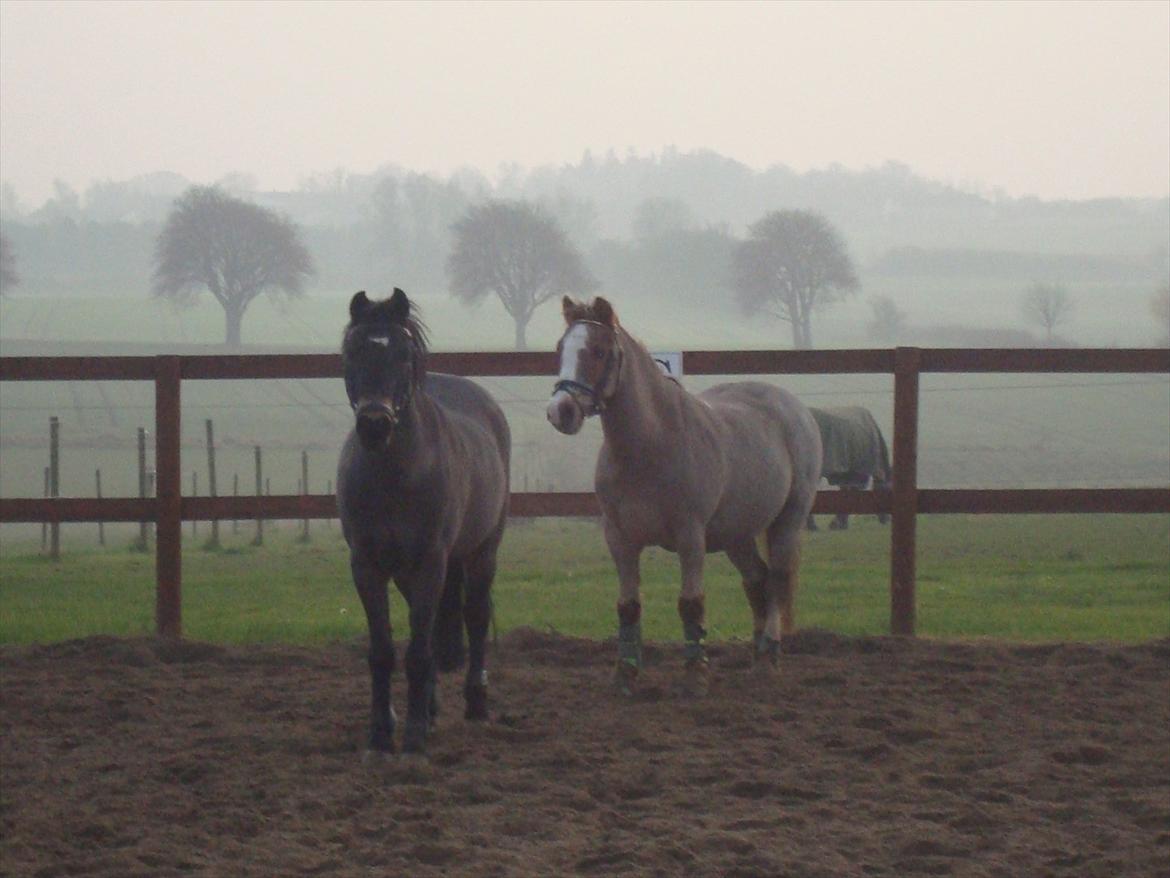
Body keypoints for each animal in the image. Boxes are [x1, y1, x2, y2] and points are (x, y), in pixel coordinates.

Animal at [334, 290, 507, 758]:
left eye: (404, 355)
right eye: (352, 351)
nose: (375, 424)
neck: (396, 474)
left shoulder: (432, 563)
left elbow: (418, 651)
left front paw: (411, 738)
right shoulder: (366, 566)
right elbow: (383, 651)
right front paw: (381, 733)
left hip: (483, 550)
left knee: (476, 614)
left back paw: (476, 702)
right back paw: (429, 710)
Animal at [547, 299, 823, 697]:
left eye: (598, 351)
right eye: (560, 348)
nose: (561, 411)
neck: (650, 447)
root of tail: (795, 409)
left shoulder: (690, 537)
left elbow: (691, 604)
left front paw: (696, 674)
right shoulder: (620, 539)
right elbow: (628, 606)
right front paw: (625, 674)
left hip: (789, 519)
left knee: (778, 580)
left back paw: (769, 658)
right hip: (737, 534)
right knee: (757, 581)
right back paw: (757, 658)